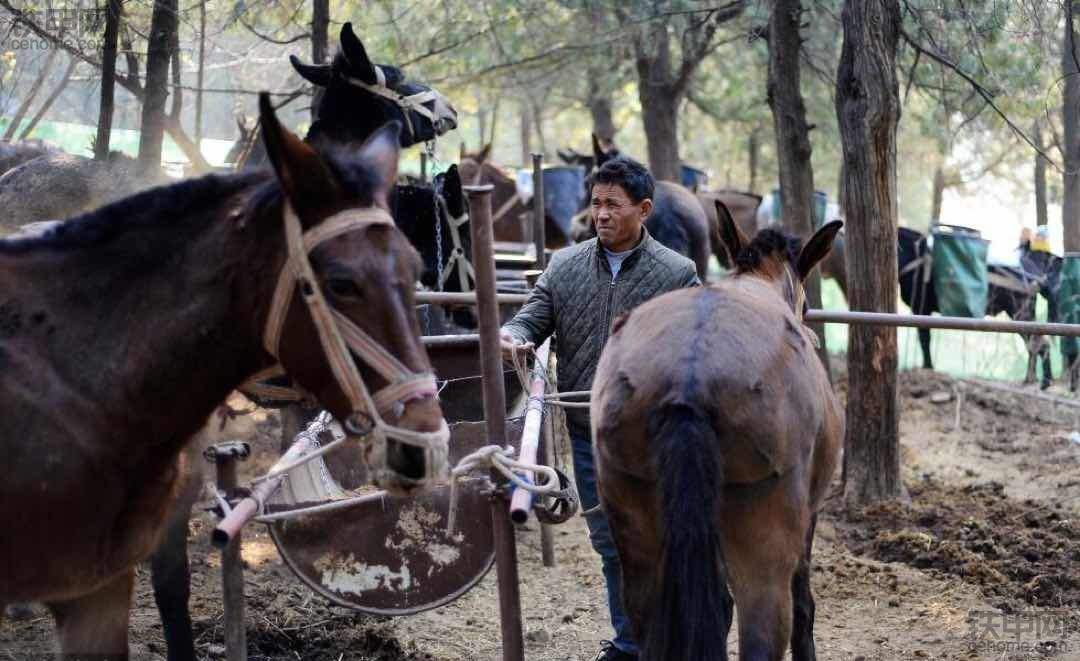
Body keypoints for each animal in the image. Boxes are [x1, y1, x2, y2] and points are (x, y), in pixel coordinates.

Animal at [894, 226, 1054, 386]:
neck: (913, 256)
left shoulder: (920, 308)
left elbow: (924, 339)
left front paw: (927, 367)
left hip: (1020, 312)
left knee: (1039, 343)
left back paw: (1044, 380)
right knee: (1035, 344)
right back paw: (1031, 379)